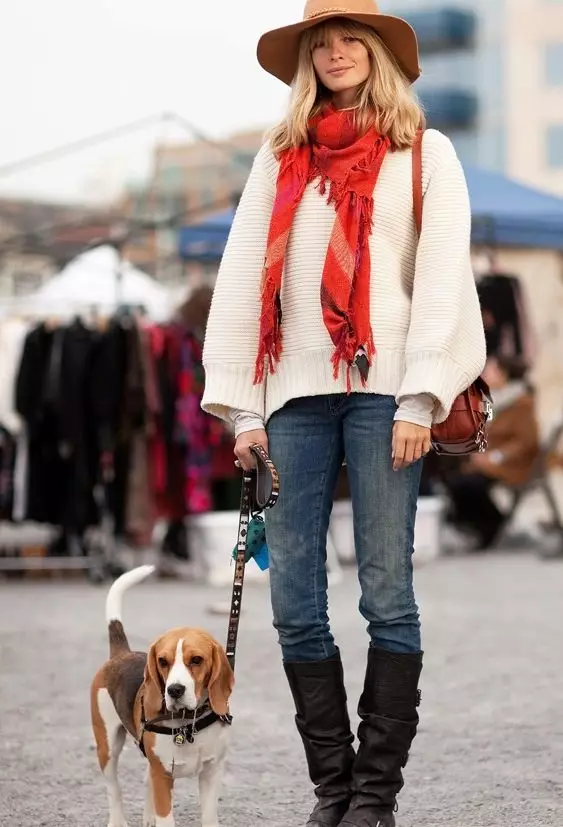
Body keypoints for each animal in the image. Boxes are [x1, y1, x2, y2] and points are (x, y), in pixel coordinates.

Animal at [90, 568, 234, 827]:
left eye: (196, 660)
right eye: (163, 661)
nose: (174, 690)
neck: (188, 723)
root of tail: (121, 654)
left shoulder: (211, 772)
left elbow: (209, 817)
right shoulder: (163, 775)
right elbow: (165, 816)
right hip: (106, 746)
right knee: (113, 788)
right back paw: (117, 820)